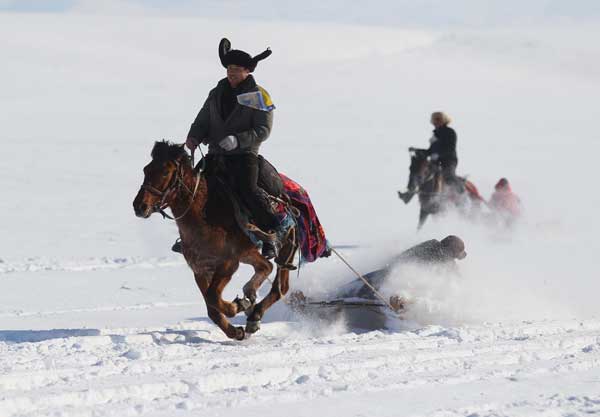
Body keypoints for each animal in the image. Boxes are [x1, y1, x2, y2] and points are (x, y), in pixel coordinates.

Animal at [135, 141, 296, 340]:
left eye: (165, 172)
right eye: (146, 169)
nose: (139, 206)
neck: (203, 215)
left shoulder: (229, 263)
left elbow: (213, 297)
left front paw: (238, 306)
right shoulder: (200, 269)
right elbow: (211, 307)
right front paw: (236, 331)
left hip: (281, 248)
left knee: (276, 279)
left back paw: (253, 310)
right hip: (249, 253)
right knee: (269, 271)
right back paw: (251, 306)